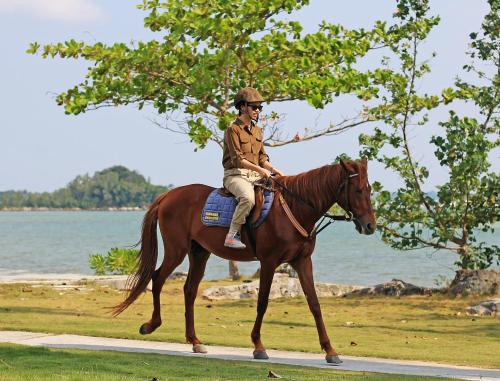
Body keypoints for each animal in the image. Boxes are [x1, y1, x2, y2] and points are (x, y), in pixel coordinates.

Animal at [113, 157, 376, 362]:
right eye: (357, 190)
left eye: (370, 189)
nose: (370, 226)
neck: (294, 207)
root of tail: (168, 195)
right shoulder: (269, 262)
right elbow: (262, 302)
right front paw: (258, 346)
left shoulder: (302, 262)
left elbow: (314, 304)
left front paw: (330, 351)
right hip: (176, 250)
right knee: (158, 279)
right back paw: (151, 325)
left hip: (199, 252)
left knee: (189, 290)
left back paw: (195, 340)